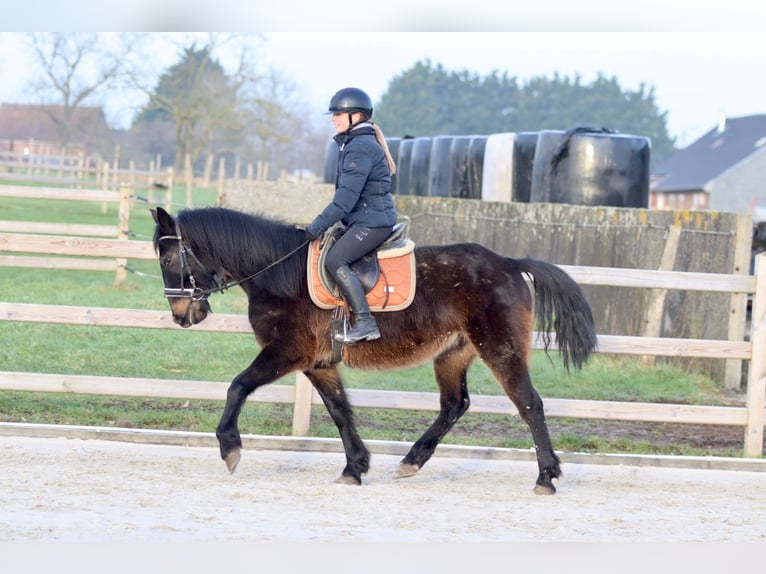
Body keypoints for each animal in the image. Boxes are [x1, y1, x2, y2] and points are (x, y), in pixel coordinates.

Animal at [152, 207, 600, 496]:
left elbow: (238, 386)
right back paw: (412, 461)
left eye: (170, 256)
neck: (280, 273)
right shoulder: (318, 362)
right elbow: (339, 411)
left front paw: (229, 447)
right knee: (455, 404)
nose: (181, 314)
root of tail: (509, 263)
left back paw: (546, 477)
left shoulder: (287, 352)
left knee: (529, 403)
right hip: (453, 353)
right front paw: (355, 467)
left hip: (500, 348)